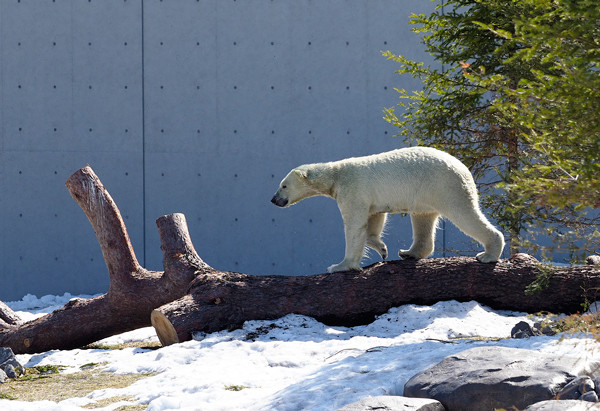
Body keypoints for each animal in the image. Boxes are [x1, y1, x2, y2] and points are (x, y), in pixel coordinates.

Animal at [274, 147, 506, 274]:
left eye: (283, 185)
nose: (274, 199)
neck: (336, 175)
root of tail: (464, 168)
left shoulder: (353, 190)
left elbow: (354, 225)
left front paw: (340, 266)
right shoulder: (370, 198)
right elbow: (375, 218)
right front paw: (382, 249)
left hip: (444, 186)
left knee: (464, 215)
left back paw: (488, 254)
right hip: (425, 195)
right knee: (423, 218)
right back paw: (408, 253)